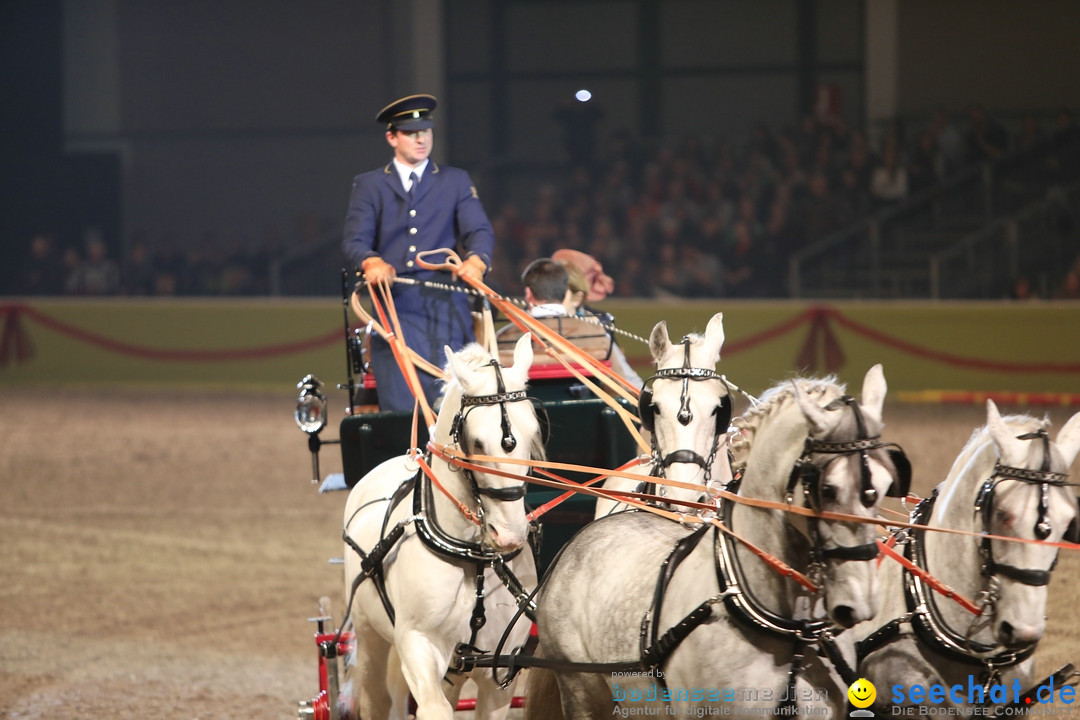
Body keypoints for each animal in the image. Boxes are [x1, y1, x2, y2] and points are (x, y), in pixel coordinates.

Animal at [339, 336, 544, 720]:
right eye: (476, 442)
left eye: (534, 433)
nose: (509, 534)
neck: (473, 557)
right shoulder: (417, 645)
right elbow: (434, 709)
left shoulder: (497, 671)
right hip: (371, 636)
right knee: (377, 698)